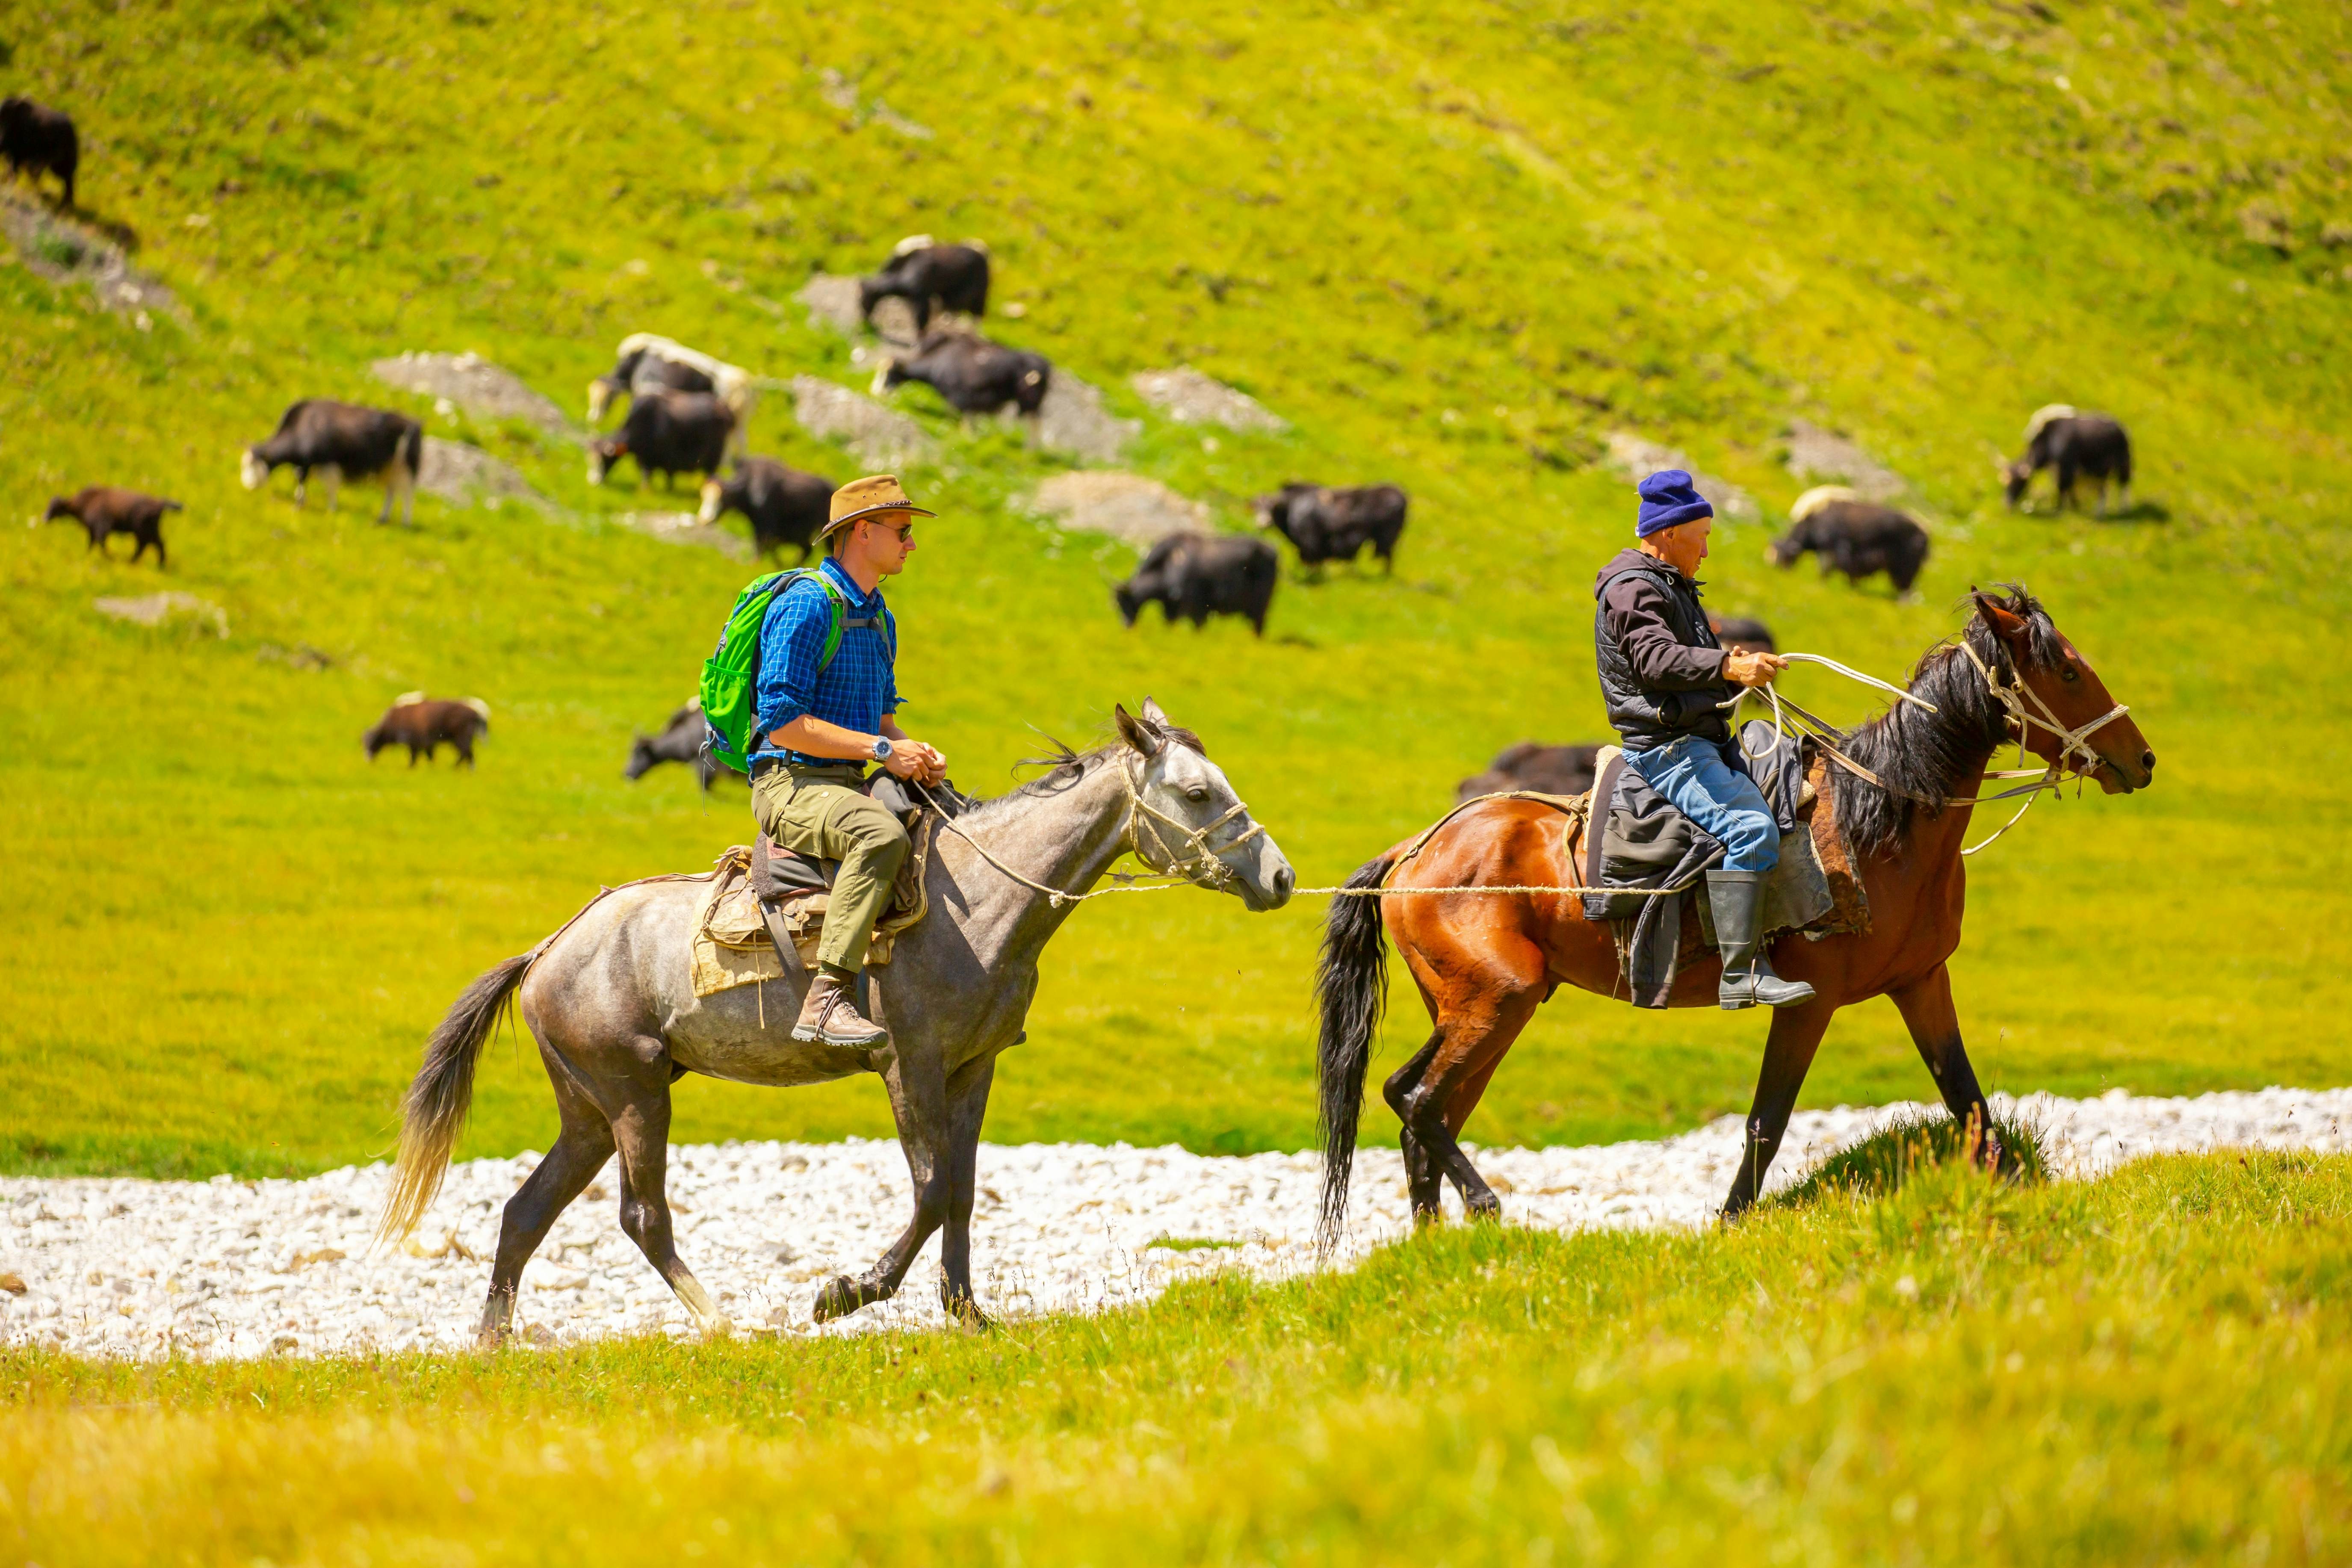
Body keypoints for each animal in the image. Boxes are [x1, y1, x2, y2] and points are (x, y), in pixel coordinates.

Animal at [378, 705, 1298, 1344]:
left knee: (524, 1211)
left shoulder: (974, 1070)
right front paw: (845, 1293)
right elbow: (931, 1188)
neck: (981, 897)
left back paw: (494, 1342)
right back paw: (722, 1322)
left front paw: (967, 1312)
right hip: (635, 1096)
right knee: (642, 1215)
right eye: (1196, 792)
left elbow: (963, 1190)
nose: (1280, 876)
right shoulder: (909, 1066)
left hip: (589, 1112)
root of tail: (546, 950)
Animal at [1317, 583, 2154, 1231]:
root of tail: (1413, 852)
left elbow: (1970, 1103)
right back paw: (1488, 1209)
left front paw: (2020, 1194)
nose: (2142, 759)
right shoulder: (1809, 1002)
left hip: (1483, 1009)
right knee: (1419, 1102)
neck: (1877, 818)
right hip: (1497, 1000)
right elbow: (1766, 1122)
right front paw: (1728, 1221)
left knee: (1418, 1110)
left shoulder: (1923, 982)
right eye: (2069, 670)